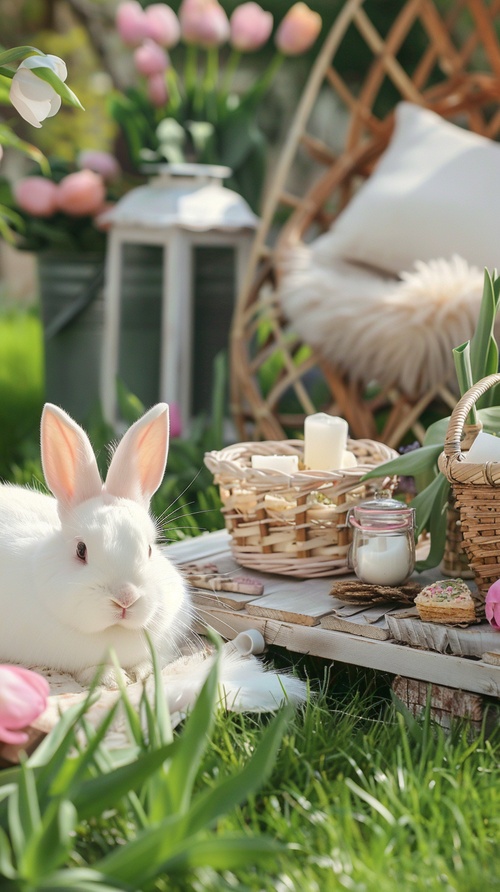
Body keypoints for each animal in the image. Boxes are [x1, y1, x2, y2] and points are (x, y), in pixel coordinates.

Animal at [0, 406, 306, 712]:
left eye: (149, 549)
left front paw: (144, 673)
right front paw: (113, 679)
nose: (125, 598)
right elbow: (89, 669)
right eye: (81, 550)